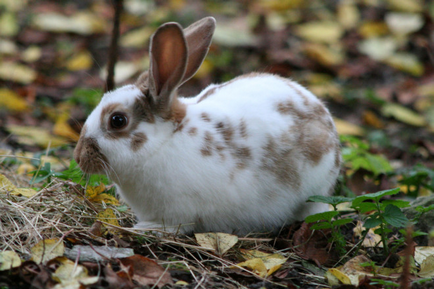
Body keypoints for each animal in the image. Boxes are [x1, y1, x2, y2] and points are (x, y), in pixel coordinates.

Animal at [73, 16, 340, 234]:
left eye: (117, 120)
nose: (78, 156)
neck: (163, 143)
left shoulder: (179, 213)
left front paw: (144, 228)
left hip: (314, 192)